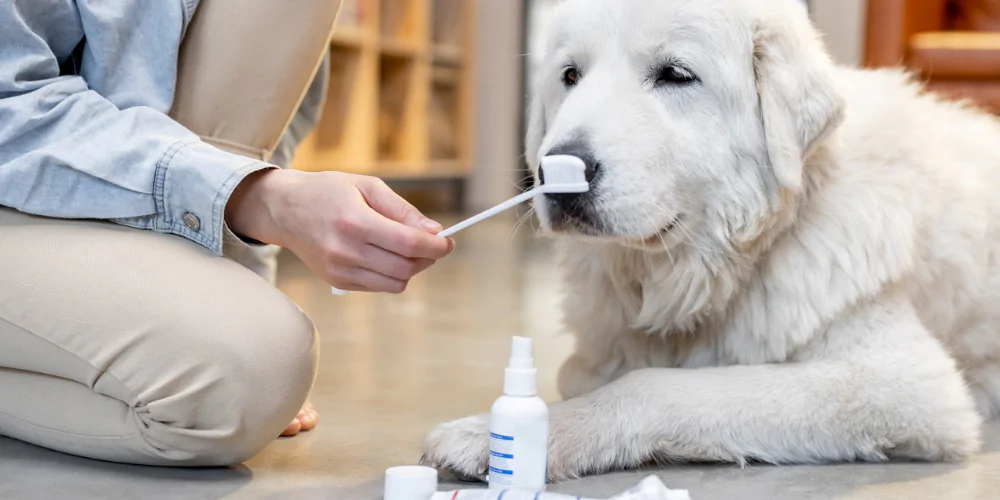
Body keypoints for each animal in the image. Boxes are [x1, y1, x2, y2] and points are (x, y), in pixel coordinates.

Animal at [420, 0, 1000, 480]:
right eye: (570, 76)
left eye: (676, 74)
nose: (554, 174)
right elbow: (584, 374)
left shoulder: (905, 383)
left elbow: (652, 385)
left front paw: (509, 434)